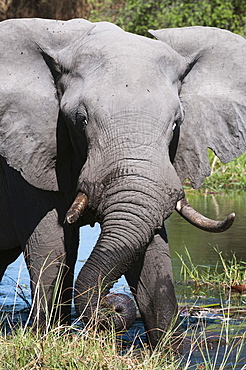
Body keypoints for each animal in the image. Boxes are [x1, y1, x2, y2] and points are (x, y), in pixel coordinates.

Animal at [0, 18, 245, 346]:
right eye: (81, 120)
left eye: (176, 123)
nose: (112, 305)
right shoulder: (25, 153)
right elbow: (52, 242)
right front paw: (47, 338)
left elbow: (152, 253)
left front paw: (168, 351)